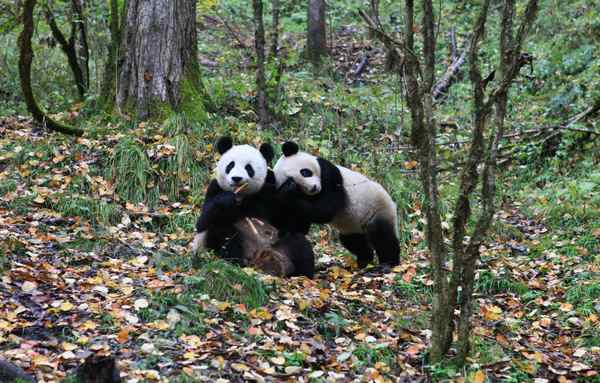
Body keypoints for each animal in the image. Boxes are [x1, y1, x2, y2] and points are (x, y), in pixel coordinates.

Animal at [193, 136, 316, 278]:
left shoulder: (269, 189)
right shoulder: (214, 188)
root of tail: (261, 258)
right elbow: (202, 221)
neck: (242, 196)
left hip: (280, 246)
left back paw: (303, 275)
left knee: (299, 243)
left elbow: (292, 224)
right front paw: (227, 199)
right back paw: (236, 262)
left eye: (249, 168)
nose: (236, 178)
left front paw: (289, 188)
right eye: (230, 165)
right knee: (222, 231)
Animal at [274, 141, 400, 270]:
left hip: (378, 209)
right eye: (298, 186)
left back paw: (388, 263)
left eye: (305, 172)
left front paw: (288, 193)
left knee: (382, 237)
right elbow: (301, 225)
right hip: (352, 226)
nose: (313, 188)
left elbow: (327, 209)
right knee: (353, 241)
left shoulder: (330, 174)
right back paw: (364, 261)